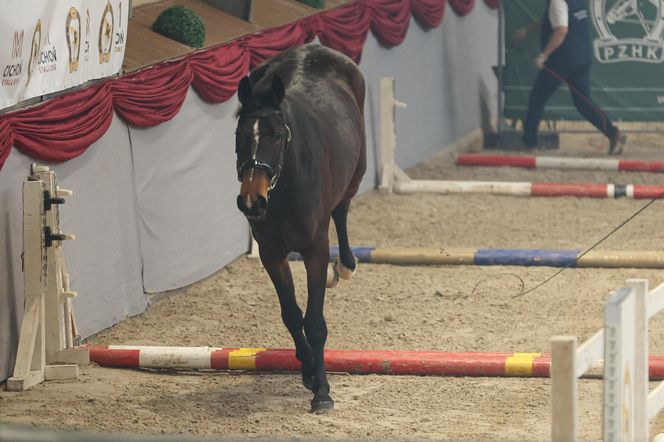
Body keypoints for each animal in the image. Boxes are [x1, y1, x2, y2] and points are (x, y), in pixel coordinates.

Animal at [233, 43, 368, 412]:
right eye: (239, 135)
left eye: (277, 135)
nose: (251, 202)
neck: (284, 189)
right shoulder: (272, 254)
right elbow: (292, 315)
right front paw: (308, 371)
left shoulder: (315, 251)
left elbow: (315, 321)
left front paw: (322, 392)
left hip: (357, 171)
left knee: (342, 209)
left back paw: (346, 265)